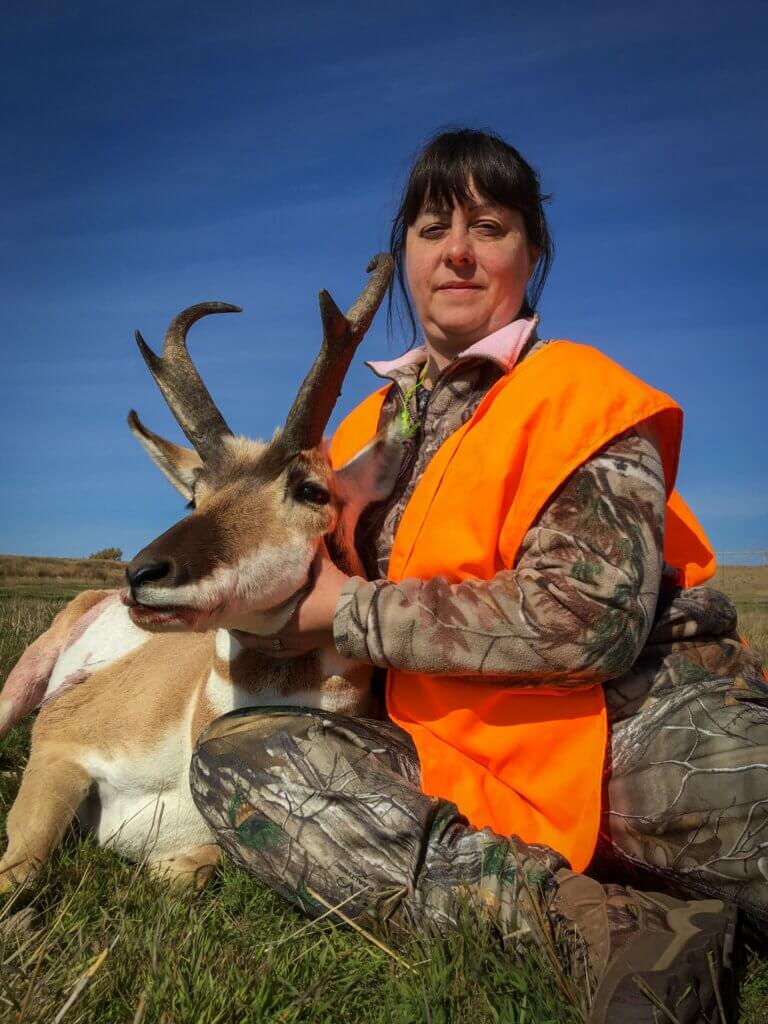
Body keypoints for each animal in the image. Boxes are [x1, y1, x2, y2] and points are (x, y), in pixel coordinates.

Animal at [0, 254, 404, 890]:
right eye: (196, 496)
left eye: (311, 489)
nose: (141, 574)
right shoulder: (59, 745)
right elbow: (21, 869)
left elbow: (187, 871)